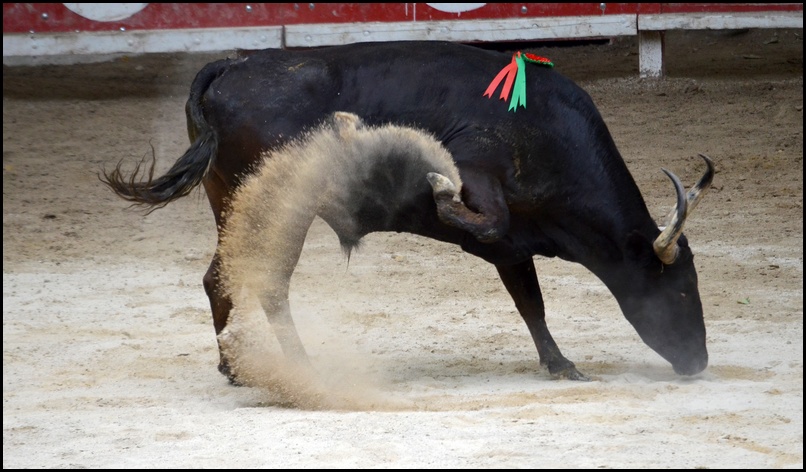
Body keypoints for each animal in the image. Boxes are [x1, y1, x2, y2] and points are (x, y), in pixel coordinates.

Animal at [104, 39, 716, 380]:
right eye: (681, 288)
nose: (699, 362)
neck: (548, 132)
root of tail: (232, 67)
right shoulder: (482, 182)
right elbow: (478, 214)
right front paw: (436, 186)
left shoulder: (512, 248)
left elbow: (531, 304)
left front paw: (559, 364)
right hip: (281, 209)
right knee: (266, 282)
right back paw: (295, 367)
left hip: (231, 203)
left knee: (221, 278)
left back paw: (233, 368)